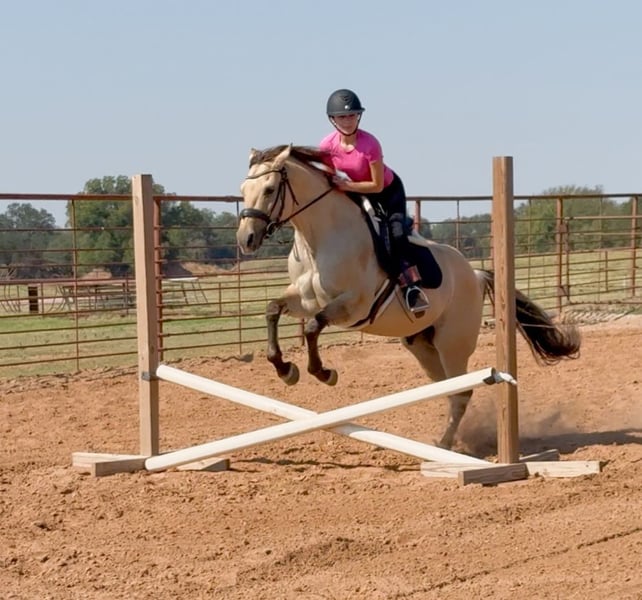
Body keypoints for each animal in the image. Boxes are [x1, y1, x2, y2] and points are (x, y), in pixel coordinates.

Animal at [236, 144, 580, 449]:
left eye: (269, 189)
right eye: (243, 189)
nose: (246, 239)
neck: (318, 241)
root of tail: (477, 275)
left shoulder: (353, 305)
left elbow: (312, 327)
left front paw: (324, 373)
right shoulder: (303, 299)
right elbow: (272, 309)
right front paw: (285, 370)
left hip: (452, 345)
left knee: (462, 392)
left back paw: (445, 444)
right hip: (422, 346)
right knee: (449, 389)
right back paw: (449, 441)